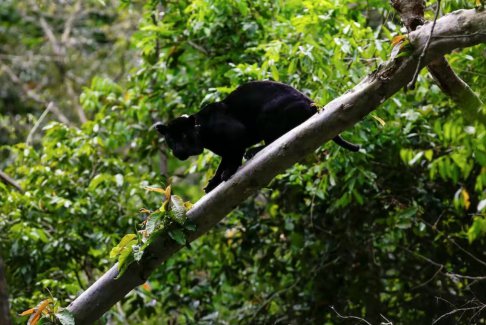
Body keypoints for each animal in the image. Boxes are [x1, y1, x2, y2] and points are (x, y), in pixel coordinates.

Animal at [154, 80, 358, 191]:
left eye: (184, 136)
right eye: (171, 140)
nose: (179, 151)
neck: (203, 133)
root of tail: (312, 103)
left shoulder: (237, 134)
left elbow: (232, 158)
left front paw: (228, 173)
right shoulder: (225, 150)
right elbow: (223, 162)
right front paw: (213, 182)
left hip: (267, 115)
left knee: (279, 140)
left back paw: (253, 151)